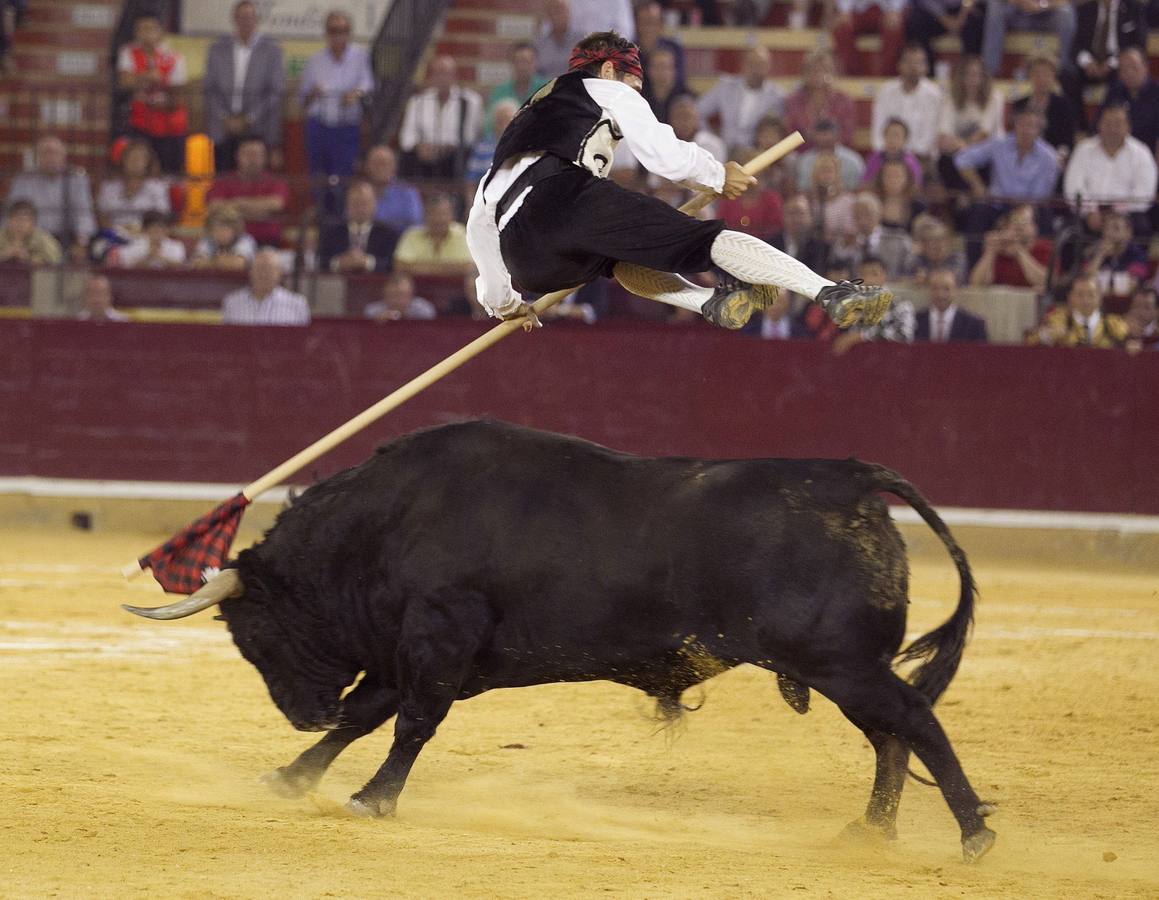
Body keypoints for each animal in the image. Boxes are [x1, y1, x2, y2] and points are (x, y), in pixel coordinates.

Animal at [124, 423, 996, 861]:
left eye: (252, 632)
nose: (300, 712)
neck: (387, 519)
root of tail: (852, 478)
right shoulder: (414, 647)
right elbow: (367, 715)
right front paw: (290, 776)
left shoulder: (438, 636)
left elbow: (409, 724)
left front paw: (371, 798)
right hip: (845, 667)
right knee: (889, 736)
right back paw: (870, 833)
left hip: (840, 662)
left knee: (911, 722)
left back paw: (974, 835)